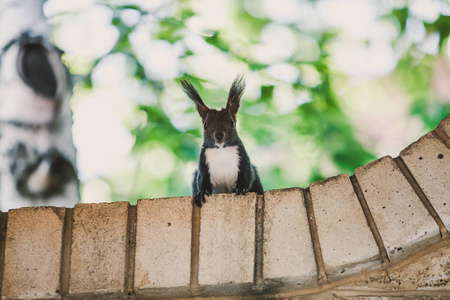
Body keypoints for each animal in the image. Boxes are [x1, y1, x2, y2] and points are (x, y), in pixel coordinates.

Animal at [180, 74, 264, 207]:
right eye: (205, 125)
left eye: (232, 122)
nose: (219, 136)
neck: (221, 150)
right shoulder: (203, 163)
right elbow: (202, 180)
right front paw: (201, 193)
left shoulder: (242, 158)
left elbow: (247, 176)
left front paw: (241, 189)